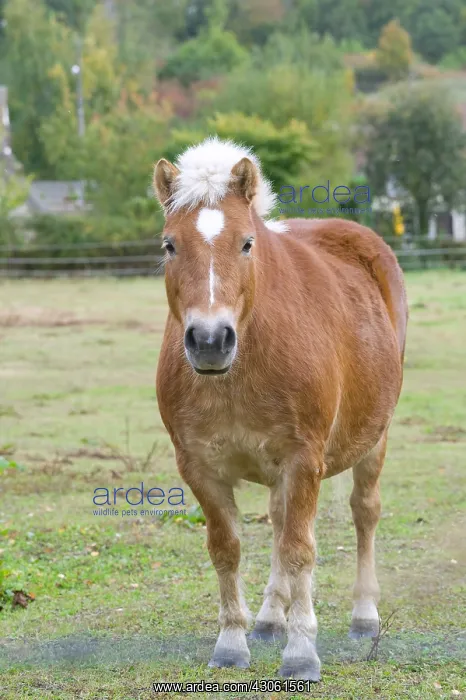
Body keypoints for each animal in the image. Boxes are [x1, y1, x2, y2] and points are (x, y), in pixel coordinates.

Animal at [153, 137, 408, 681]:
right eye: (169, 245)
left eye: (247, 243)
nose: (210, 341)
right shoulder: (198, 466)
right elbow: (226, 549)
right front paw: (232, 642)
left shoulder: (303, 460)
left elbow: (299, 551)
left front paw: (301, 653)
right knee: (276, 518)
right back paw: (271, 618)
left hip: (375, 438)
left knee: (364, 513)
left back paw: (364, 616)